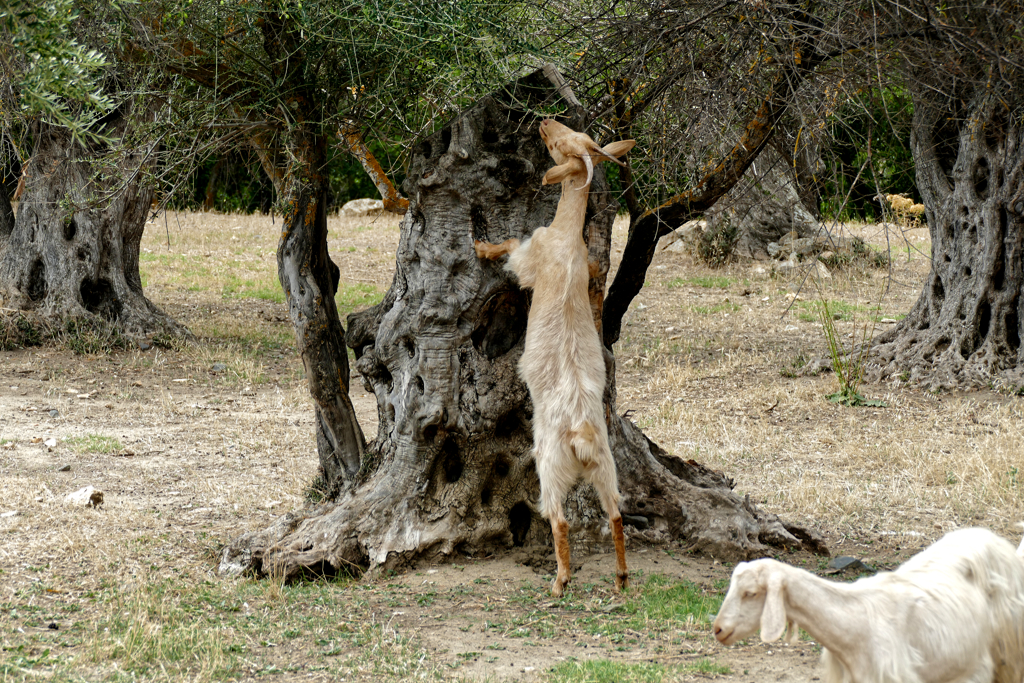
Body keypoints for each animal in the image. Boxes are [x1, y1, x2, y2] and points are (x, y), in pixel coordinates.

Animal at [471, 120, 630, 593]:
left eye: (561, 143)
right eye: (570, 132)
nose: (544, 122)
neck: (566, 237)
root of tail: (580, 431)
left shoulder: (529, 258)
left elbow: (509, 245)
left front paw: (480, 247)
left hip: (550, 463)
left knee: (558, 518)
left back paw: (560, 581)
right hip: (605, 466)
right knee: (616, 514)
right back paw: (621, 576)